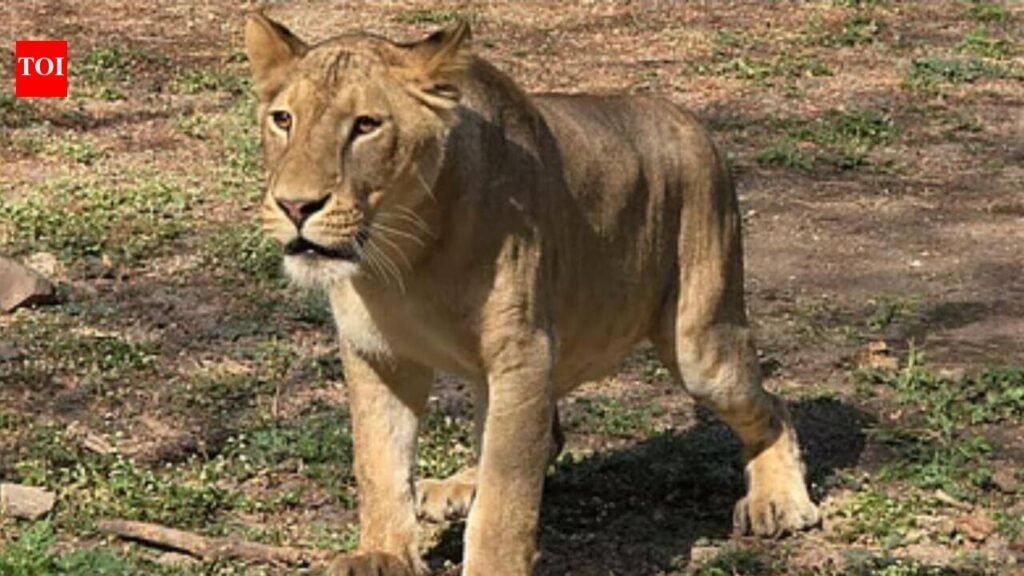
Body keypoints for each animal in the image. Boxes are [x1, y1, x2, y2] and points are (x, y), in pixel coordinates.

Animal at [244, 13, 820, 576]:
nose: (295, 206)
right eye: (283, 120)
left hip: (702, 346)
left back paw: (778, 500)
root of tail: (689, 120)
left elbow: (506, 498)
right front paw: (383, 556)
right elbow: (378, 462)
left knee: (770, 405)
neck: (405, 256)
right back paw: (457, 486)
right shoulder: (377, 353)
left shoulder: (522, 354)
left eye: (365, 125)